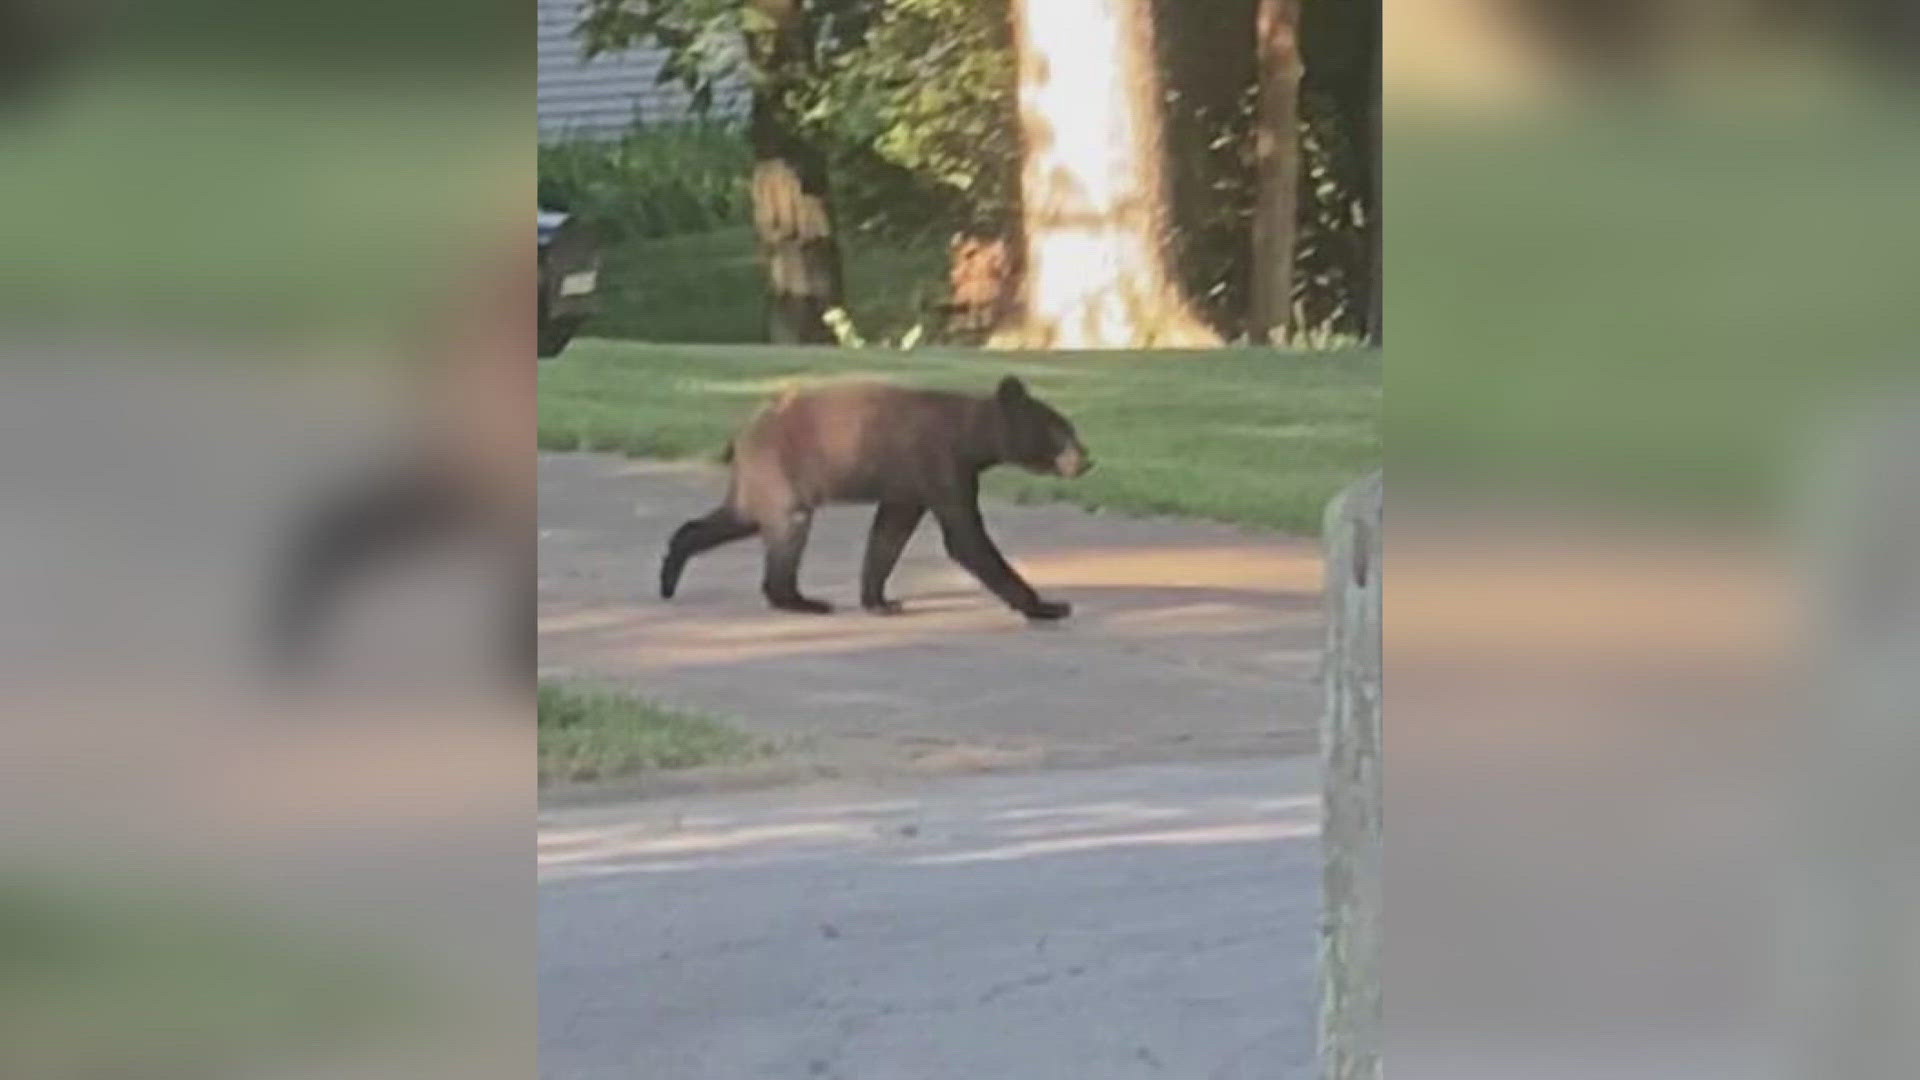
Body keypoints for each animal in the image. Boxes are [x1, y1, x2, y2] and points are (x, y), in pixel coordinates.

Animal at [660, 374, 1090, 618]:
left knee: (735, 518)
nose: (1087, 460)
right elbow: (965, 537)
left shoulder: (909, 484)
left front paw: (880, 600)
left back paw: (671, 570)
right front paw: (1047, 606)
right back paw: (802, 601)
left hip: (761, 477)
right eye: (1061, 431)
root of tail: (742, 434)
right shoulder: (939, 462)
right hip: (779, 470)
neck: (971, 436)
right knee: (788, 525)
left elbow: (889, 533)